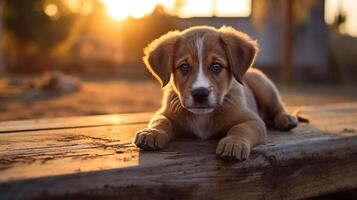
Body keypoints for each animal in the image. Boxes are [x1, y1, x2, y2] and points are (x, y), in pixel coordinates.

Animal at [134, 25, 298, 161]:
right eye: (184, 67)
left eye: (216, 66)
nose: (200, 93)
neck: (203, 117)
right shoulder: (165, 113)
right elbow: (161, 121)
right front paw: (152, 132)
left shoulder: (252, 120)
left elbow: (240, 128)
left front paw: (234, 143)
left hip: (262, 83)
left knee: (277, 106)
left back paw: (285, 119)